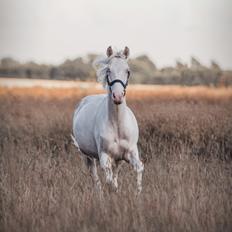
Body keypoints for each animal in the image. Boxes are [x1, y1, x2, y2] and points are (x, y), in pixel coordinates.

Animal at [71, 46, 144, 193]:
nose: (117, 96)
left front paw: (138, 193)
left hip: (118, 159)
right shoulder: (104, 157)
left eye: (128, 71)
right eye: (109, 70)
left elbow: (139, 168)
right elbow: (110, 181)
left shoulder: (130, 153)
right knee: (95, 177)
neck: (117, 125)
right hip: (87, 157)